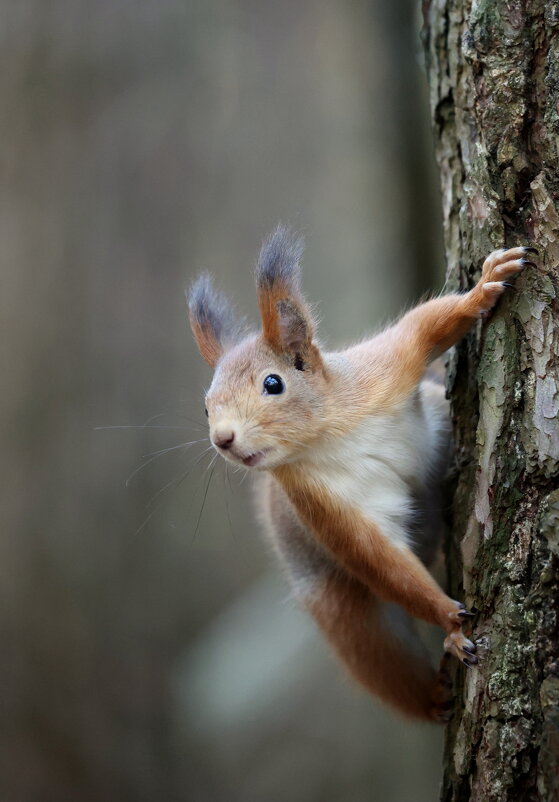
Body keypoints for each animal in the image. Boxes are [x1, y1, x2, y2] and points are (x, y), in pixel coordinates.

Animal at [188, 225, 540, 720]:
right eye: (205, 407)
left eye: (273, 383)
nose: (222, 439)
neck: (326, 437)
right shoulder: (324, 506)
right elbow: (382, 562)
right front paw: (450, 622)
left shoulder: (382, 372)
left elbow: (425, 327)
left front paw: (486, 286)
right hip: (349, 619)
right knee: (386, 663)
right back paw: (434, 696)